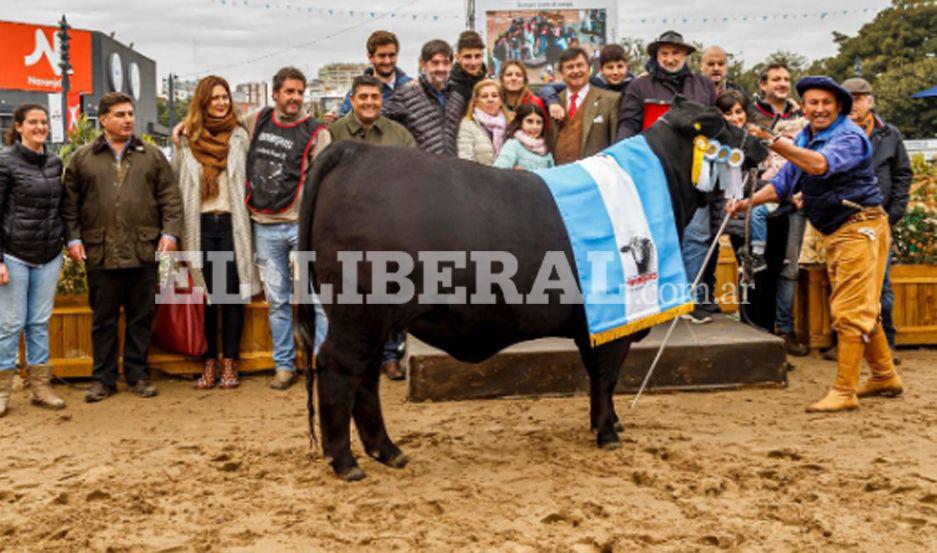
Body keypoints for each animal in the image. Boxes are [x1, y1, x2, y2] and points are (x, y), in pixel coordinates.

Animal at [296, 97, 764, 480]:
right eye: (720, 123)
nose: (760, 142)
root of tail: (354, 151)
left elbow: (601, 377)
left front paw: (609, 423)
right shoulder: (613, 319)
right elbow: (607, 375)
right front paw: (608, 432)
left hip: (375, 319)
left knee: (365, 377)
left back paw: (387, 451)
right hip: (358, 313)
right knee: (337, 367)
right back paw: (345, 462)